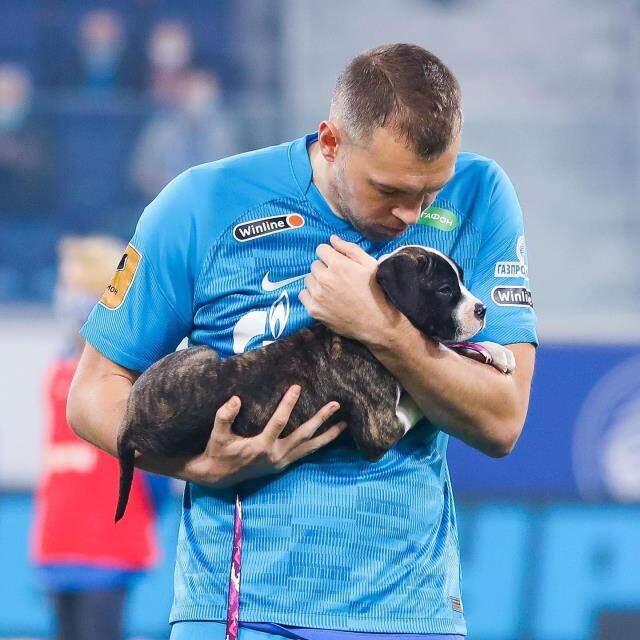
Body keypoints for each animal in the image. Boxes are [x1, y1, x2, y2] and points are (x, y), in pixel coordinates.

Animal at [115, 245, 516, 520]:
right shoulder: (380, 428)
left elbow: (456, 348)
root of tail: (128, 426)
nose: (482, 309)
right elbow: (415, 397)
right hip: (203, 354)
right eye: (445, 290)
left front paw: (497, 352)